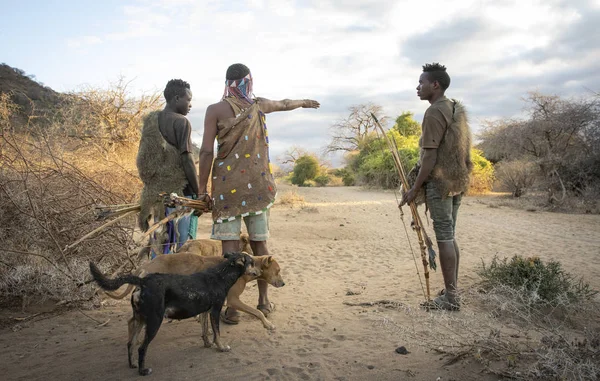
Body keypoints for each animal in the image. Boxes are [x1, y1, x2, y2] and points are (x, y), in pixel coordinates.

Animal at [89, 251, 258, 376]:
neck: (221, 274)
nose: (259, 272)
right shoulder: (215, 311)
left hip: (140, 319)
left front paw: (207, 344)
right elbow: (217, 333)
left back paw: (133, 364)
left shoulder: (204, 312)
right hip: (154, 322)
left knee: (130, 343)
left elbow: (205, 330)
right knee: (141, 348)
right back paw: (143, 371)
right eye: (252, 262)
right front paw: (221, 347)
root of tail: (143, 281)